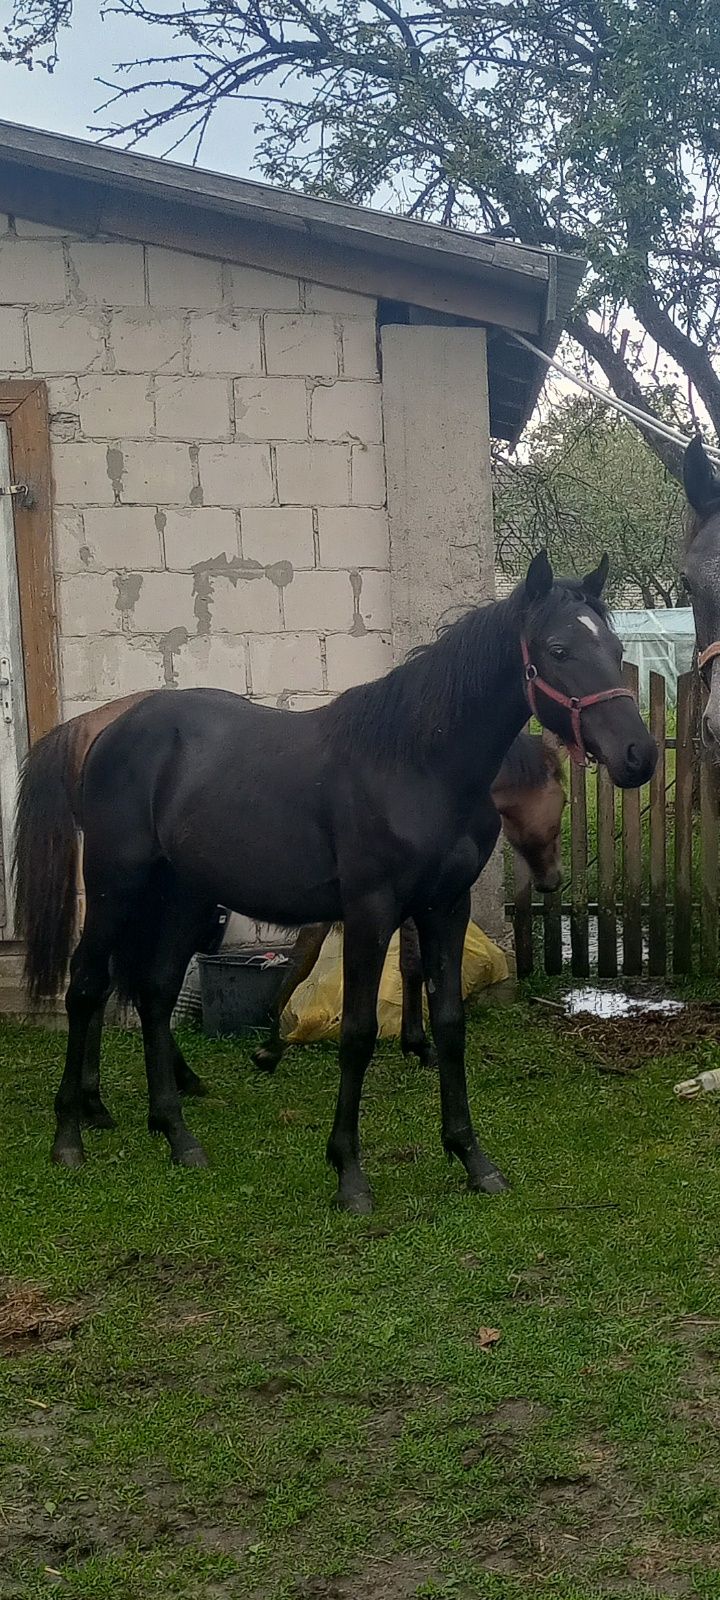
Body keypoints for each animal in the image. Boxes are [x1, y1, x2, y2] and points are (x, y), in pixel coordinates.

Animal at [14, 550, 656, 1209]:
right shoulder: (370, 911)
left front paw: (473, 1159)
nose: (640, 755)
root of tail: (106, 730)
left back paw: (176, 1135)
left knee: (155, 993)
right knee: (87, 987)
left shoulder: (444, 908)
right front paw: (349, 1174)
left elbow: (451, 1024)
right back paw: (70, 1137)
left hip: (183, 896)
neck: (418, 766)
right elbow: (358, 1032)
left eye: (614, 646)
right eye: (558, 649)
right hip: (116, 886)